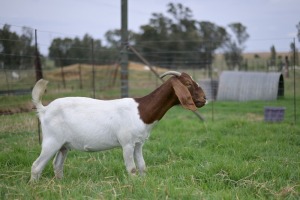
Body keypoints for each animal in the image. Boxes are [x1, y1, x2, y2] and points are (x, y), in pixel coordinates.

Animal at [29, 70, 206, 181]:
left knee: (57, 165)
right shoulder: (127, 143)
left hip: (64, 145)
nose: (204, 99)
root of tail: (44, 109)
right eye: (188, 83)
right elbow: (132, 168)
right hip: (52, 141)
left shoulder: (138, 143)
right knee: (36, 166)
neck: (140, 110)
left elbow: (142, 166)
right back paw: (33, 186)